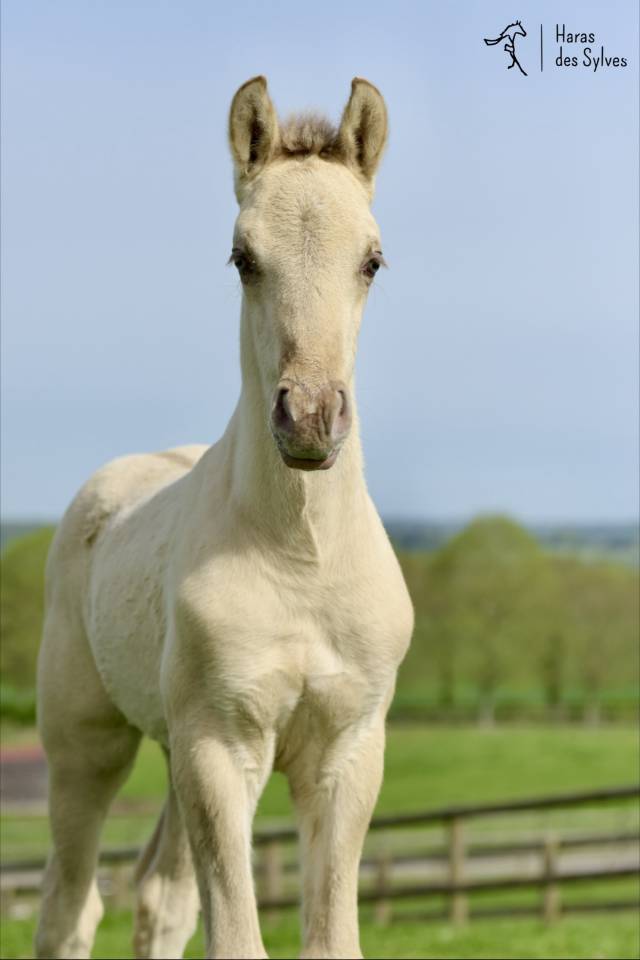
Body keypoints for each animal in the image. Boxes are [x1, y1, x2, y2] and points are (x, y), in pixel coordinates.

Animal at [35, 76, 414, 960]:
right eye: (244, 259)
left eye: (372, 260)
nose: (309, 419)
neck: (302, 558)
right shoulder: (218, 745)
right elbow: (237, 937)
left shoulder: (347, 751)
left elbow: (327, 939)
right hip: (87, 745)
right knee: (70, 909)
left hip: (170, 743)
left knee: (160, 897)